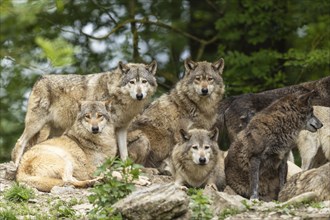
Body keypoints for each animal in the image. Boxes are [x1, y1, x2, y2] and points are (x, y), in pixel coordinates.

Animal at [11, 60, 159, 167]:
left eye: (144, 81)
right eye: (132, 82)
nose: (139, 95)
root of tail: (40, 79)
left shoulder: (121, 129)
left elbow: (124, 154)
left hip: (57, 130)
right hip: (36, 125)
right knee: (20, 142)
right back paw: (16, 165)